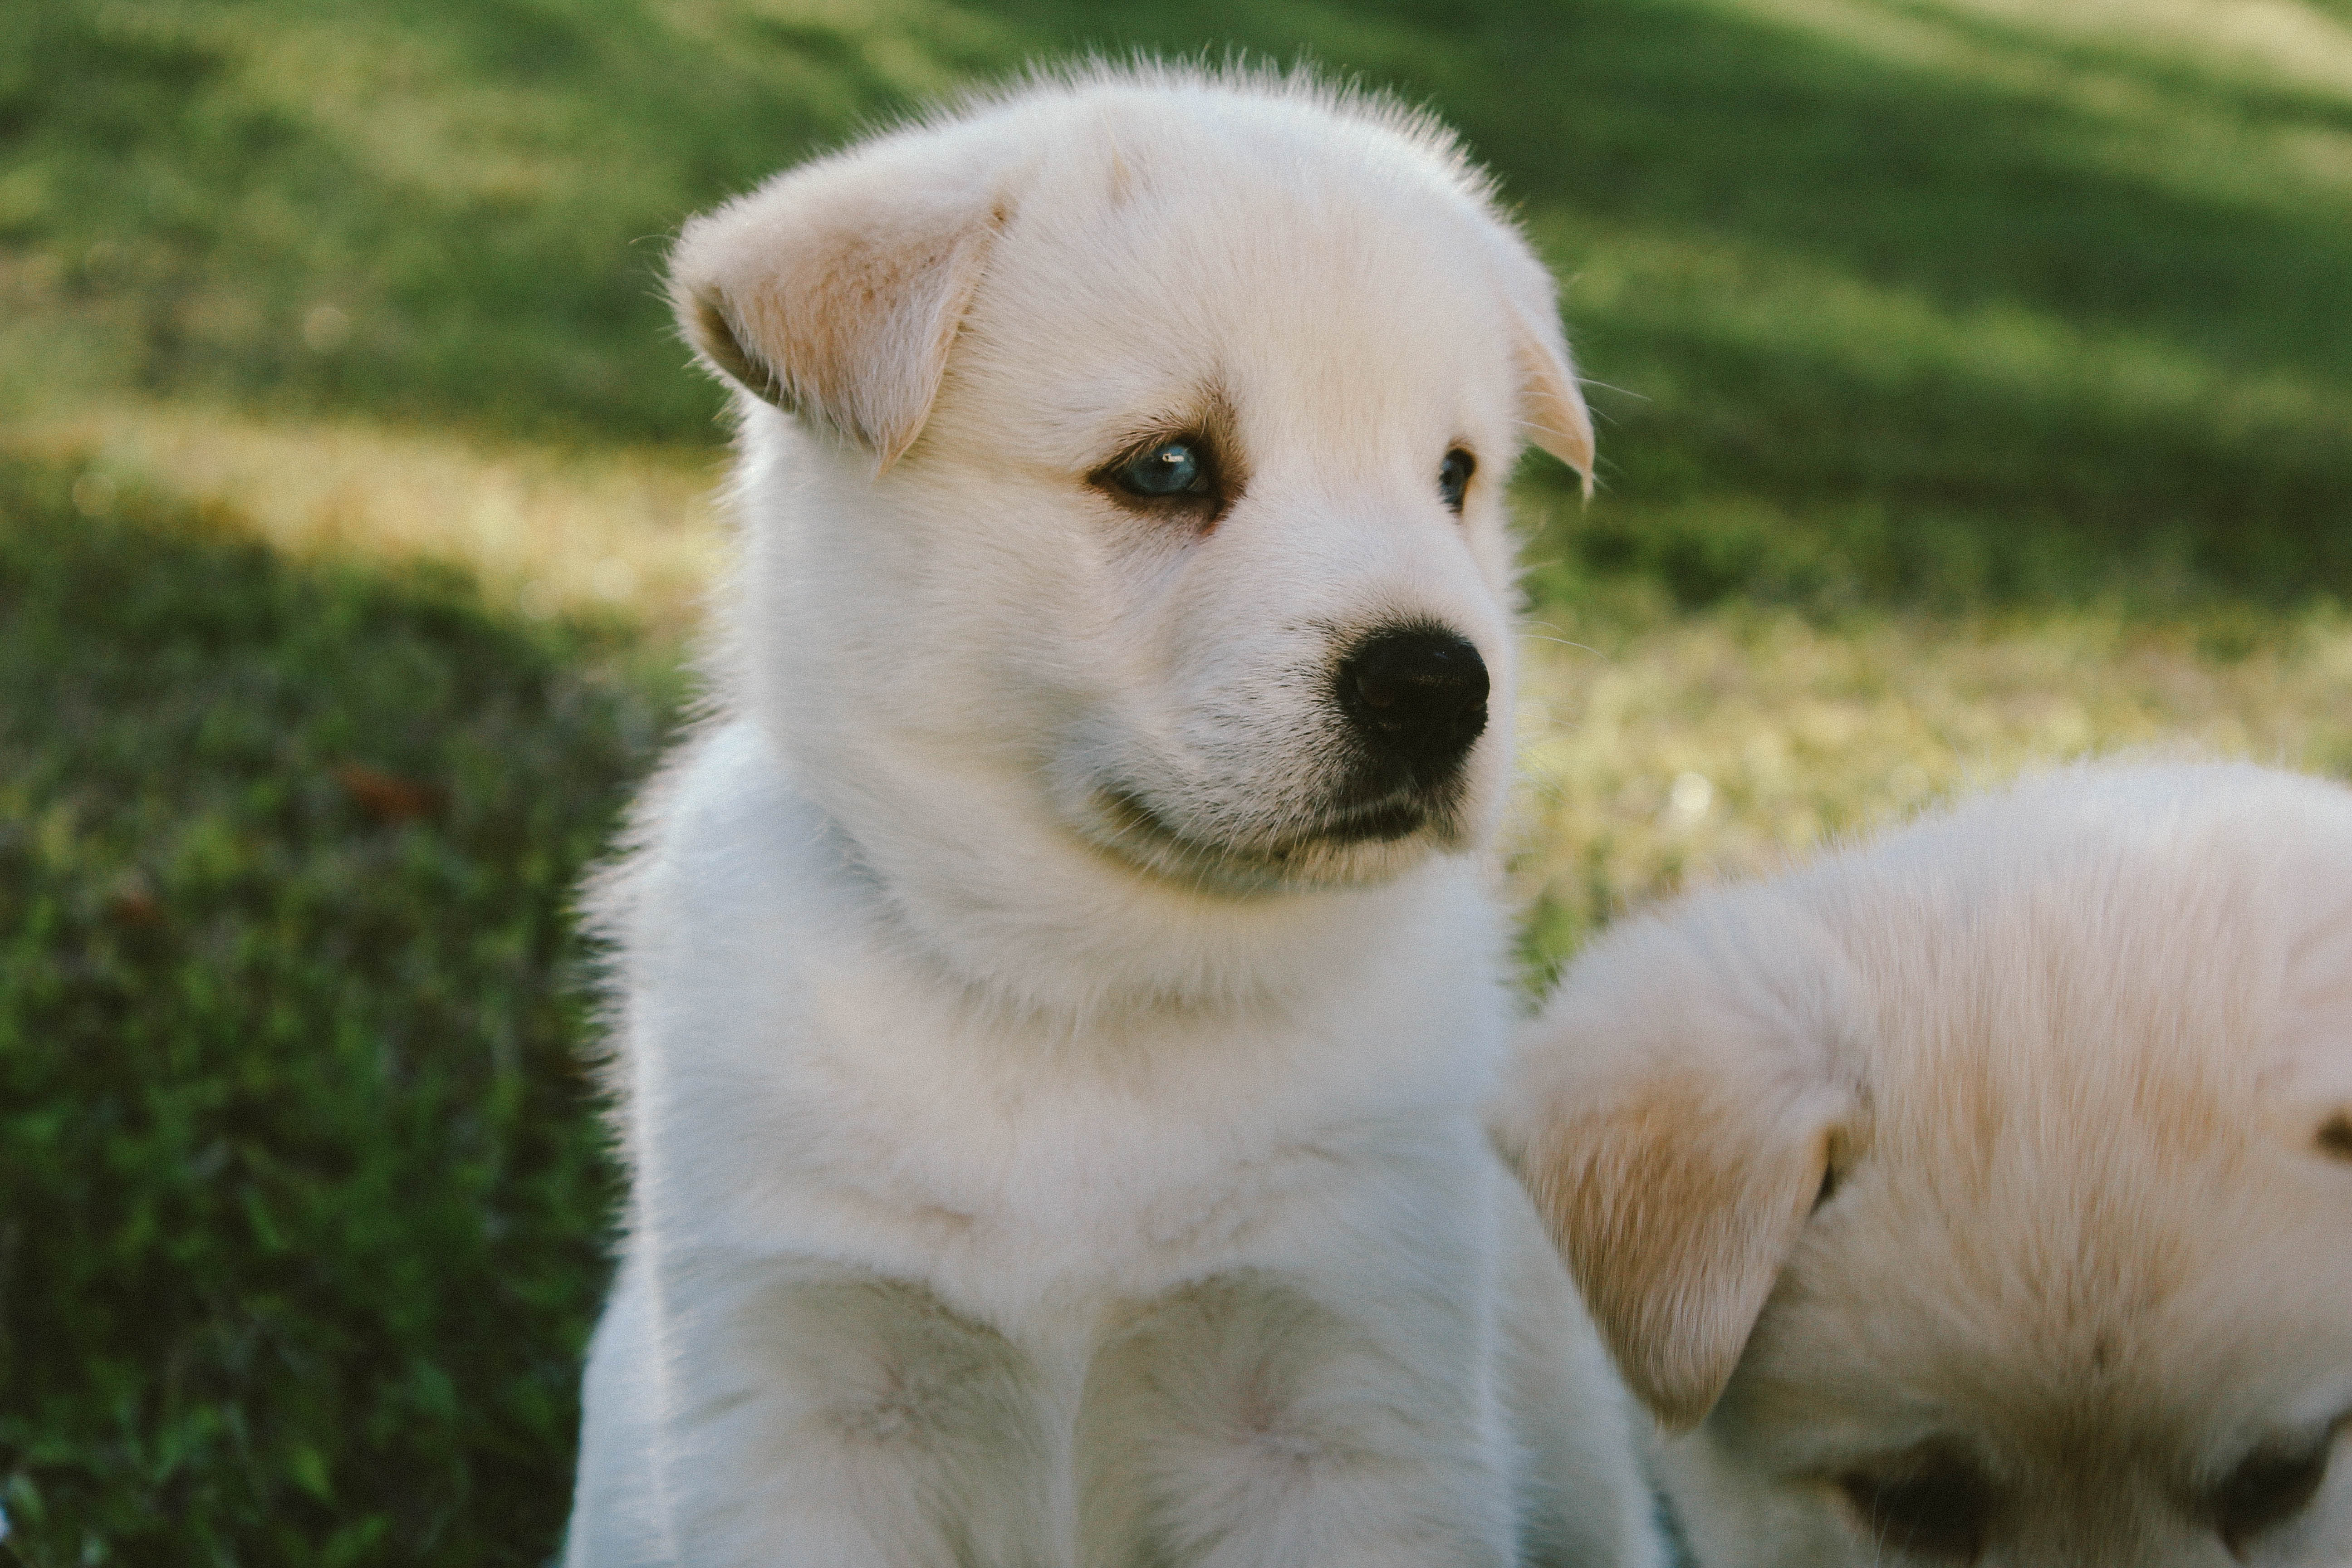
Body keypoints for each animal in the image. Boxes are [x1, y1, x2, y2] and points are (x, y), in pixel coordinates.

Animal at [562, 64, 1665, 1568]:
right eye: (1168, 468)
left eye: (1454, 478)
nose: (1441, 690)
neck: (1100, 996)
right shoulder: (804, 1400)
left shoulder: (1349, 1400)